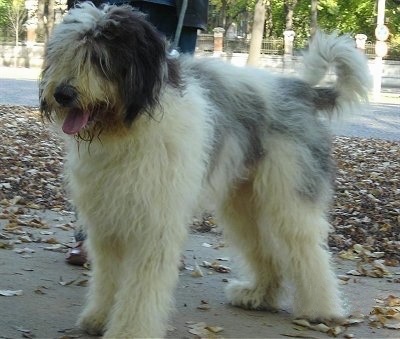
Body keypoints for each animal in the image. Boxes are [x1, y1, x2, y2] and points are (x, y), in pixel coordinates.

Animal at [39, 1, 370, 338]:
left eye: (99, 58)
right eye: (65, 54)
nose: (62, 94)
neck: (128, 128)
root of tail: (302, 89)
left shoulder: (155, 222)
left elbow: (140, 289)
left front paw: (130, 330)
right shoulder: (107, 220)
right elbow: (108, 275)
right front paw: (100, 316)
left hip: (289, 191)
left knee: (307, 249)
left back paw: (321, 310)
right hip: (243, 203)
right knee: (263, 246)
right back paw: (258, 295)